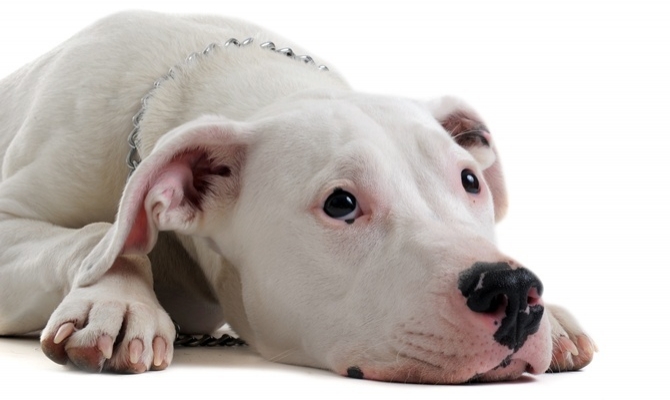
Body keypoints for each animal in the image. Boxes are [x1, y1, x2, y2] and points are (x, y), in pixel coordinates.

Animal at [0, 11, 595, 383]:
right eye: (341, 204)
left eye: (471, 181)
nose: (513, 290)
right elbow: (102, 234)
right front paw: (117, 302)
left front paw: (556, 319)